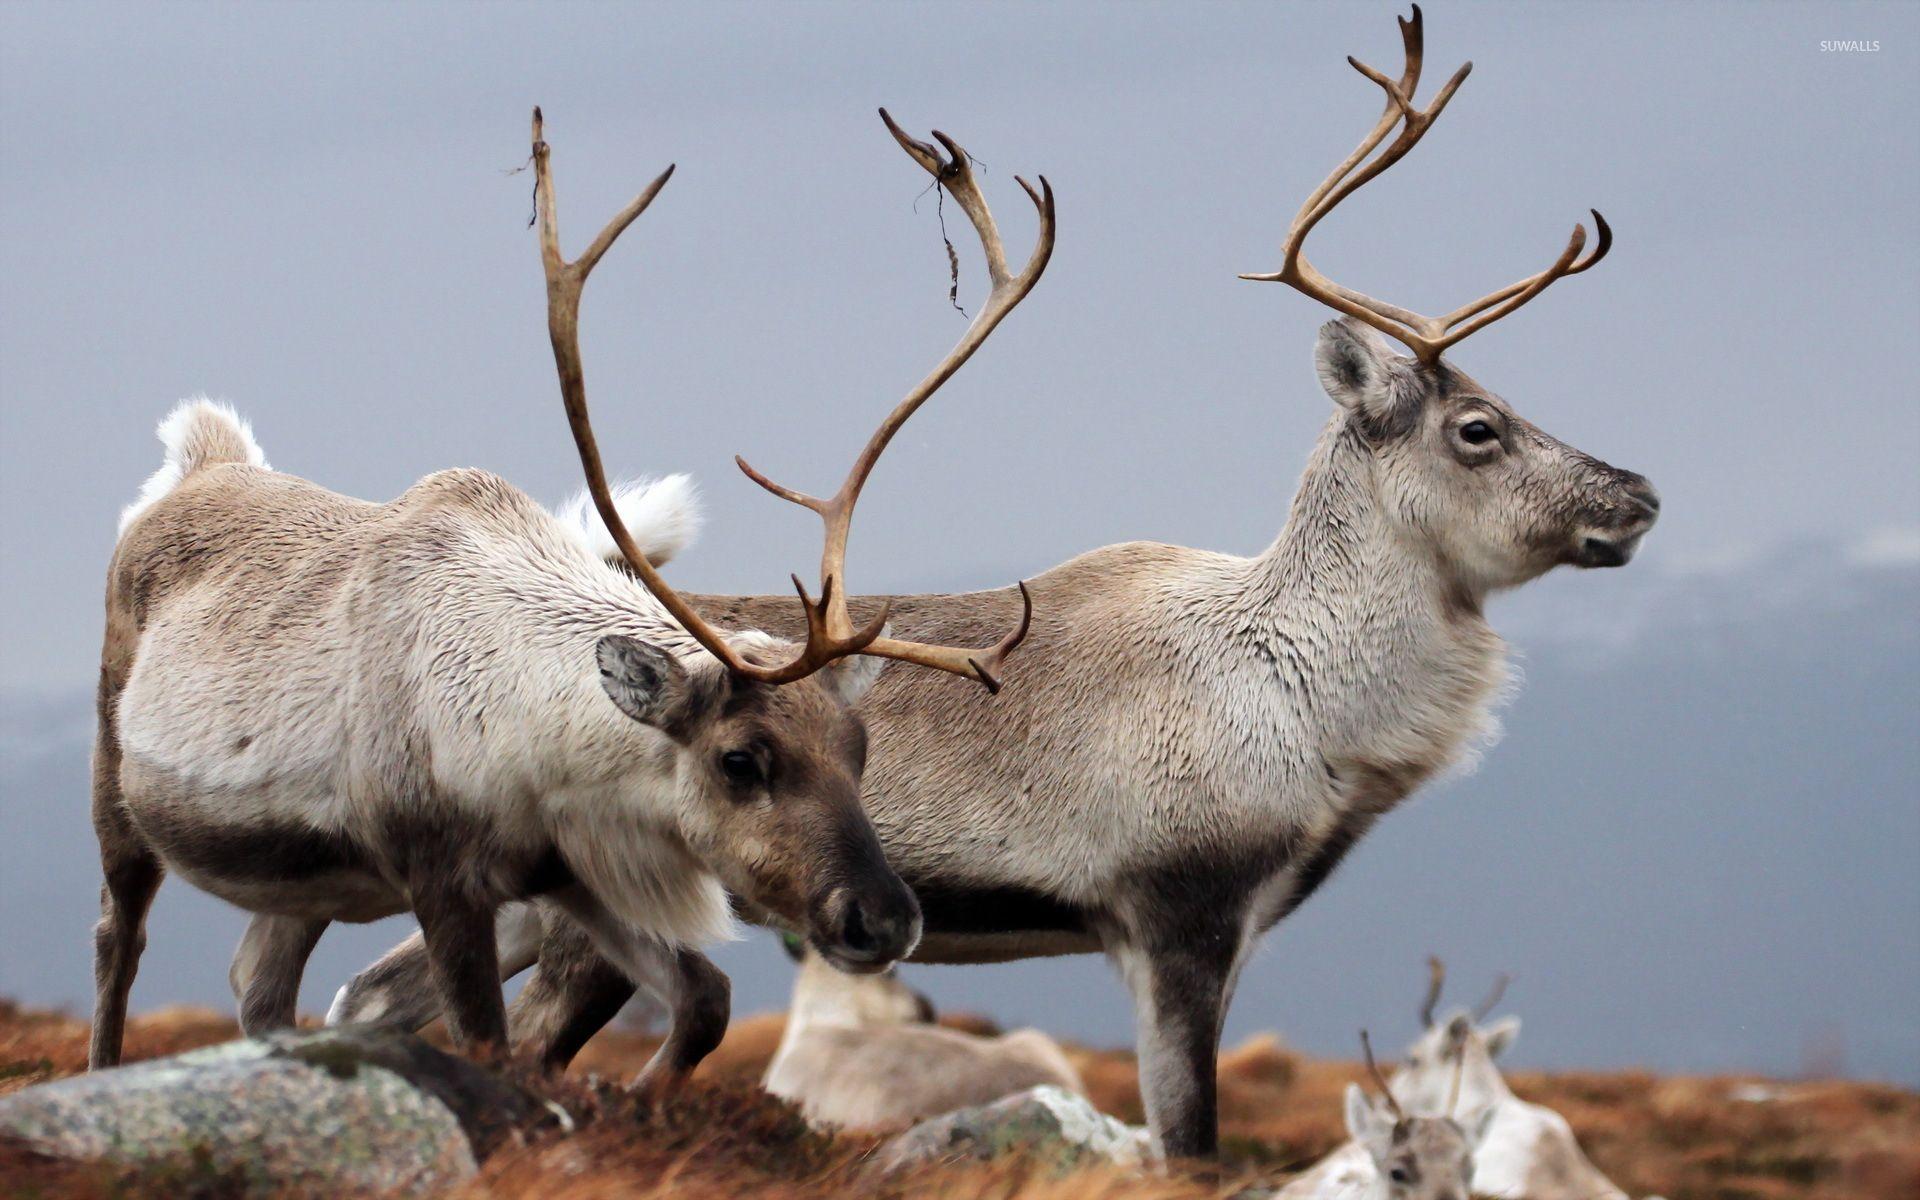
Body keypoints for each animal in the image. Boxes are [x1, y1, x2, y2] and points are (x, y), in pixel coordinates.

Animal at [88, 104, 1049, 1080]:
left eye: (859, 749)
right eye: (739, 759)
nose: (883, 920)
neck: (524, 742)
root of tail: (199, 461)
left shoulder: (575, 876)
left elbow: (703, 1000)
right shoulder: (444, 880)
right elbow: (489, 1039)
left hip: (305, 882)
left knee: (258, 984)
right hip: (117, 782)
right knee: (117, 939)